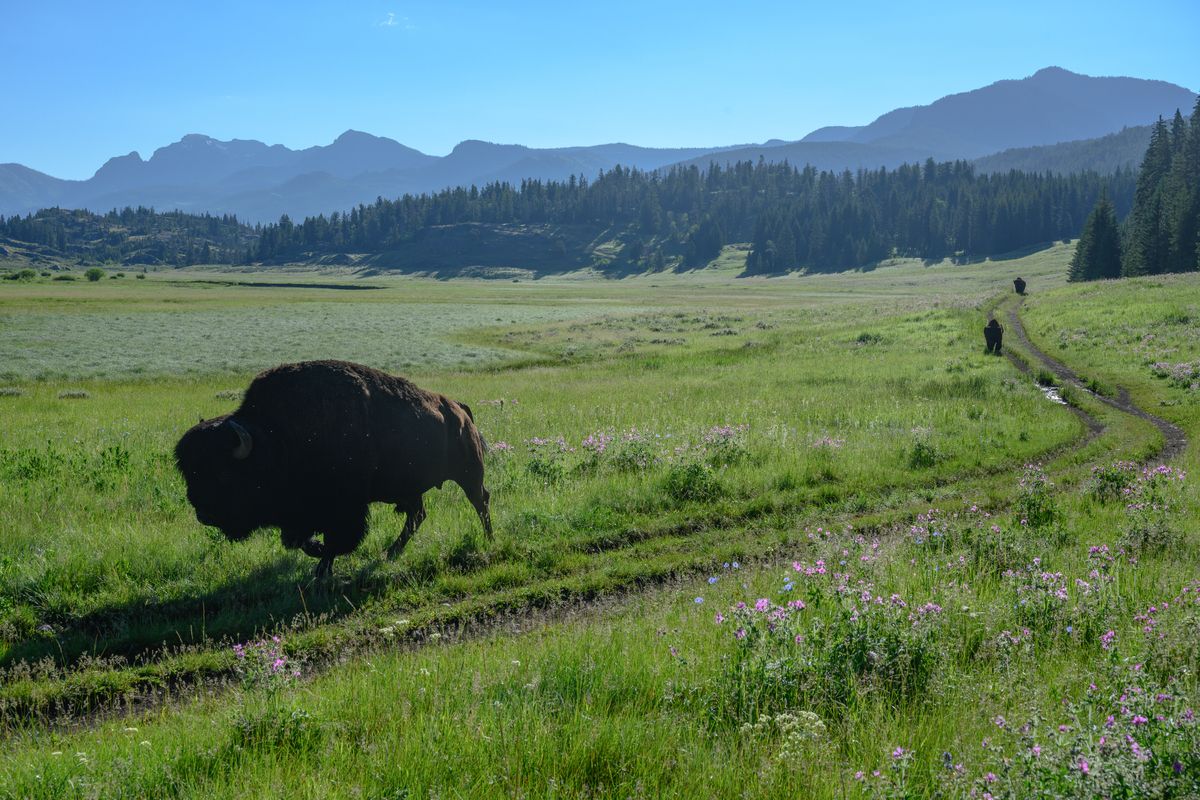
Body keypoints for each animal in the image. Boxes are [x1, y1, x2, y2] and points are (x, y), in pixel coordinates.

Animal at [175, 360, 493, 577]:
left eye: (223, 473)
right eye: (191, 472)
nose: (202, 513)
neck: (276, 437)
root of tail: (459, 408)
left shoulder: (343, 509)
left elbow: (336, 538)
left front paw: (322, 570)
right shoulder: (302, 513)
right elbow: (300, 540)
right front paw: (317, 555)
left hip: (469, 475)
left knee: (480, 503)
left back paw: (489, 539)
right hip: (411, 488)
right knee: (417, 515)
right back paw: (390, 552)